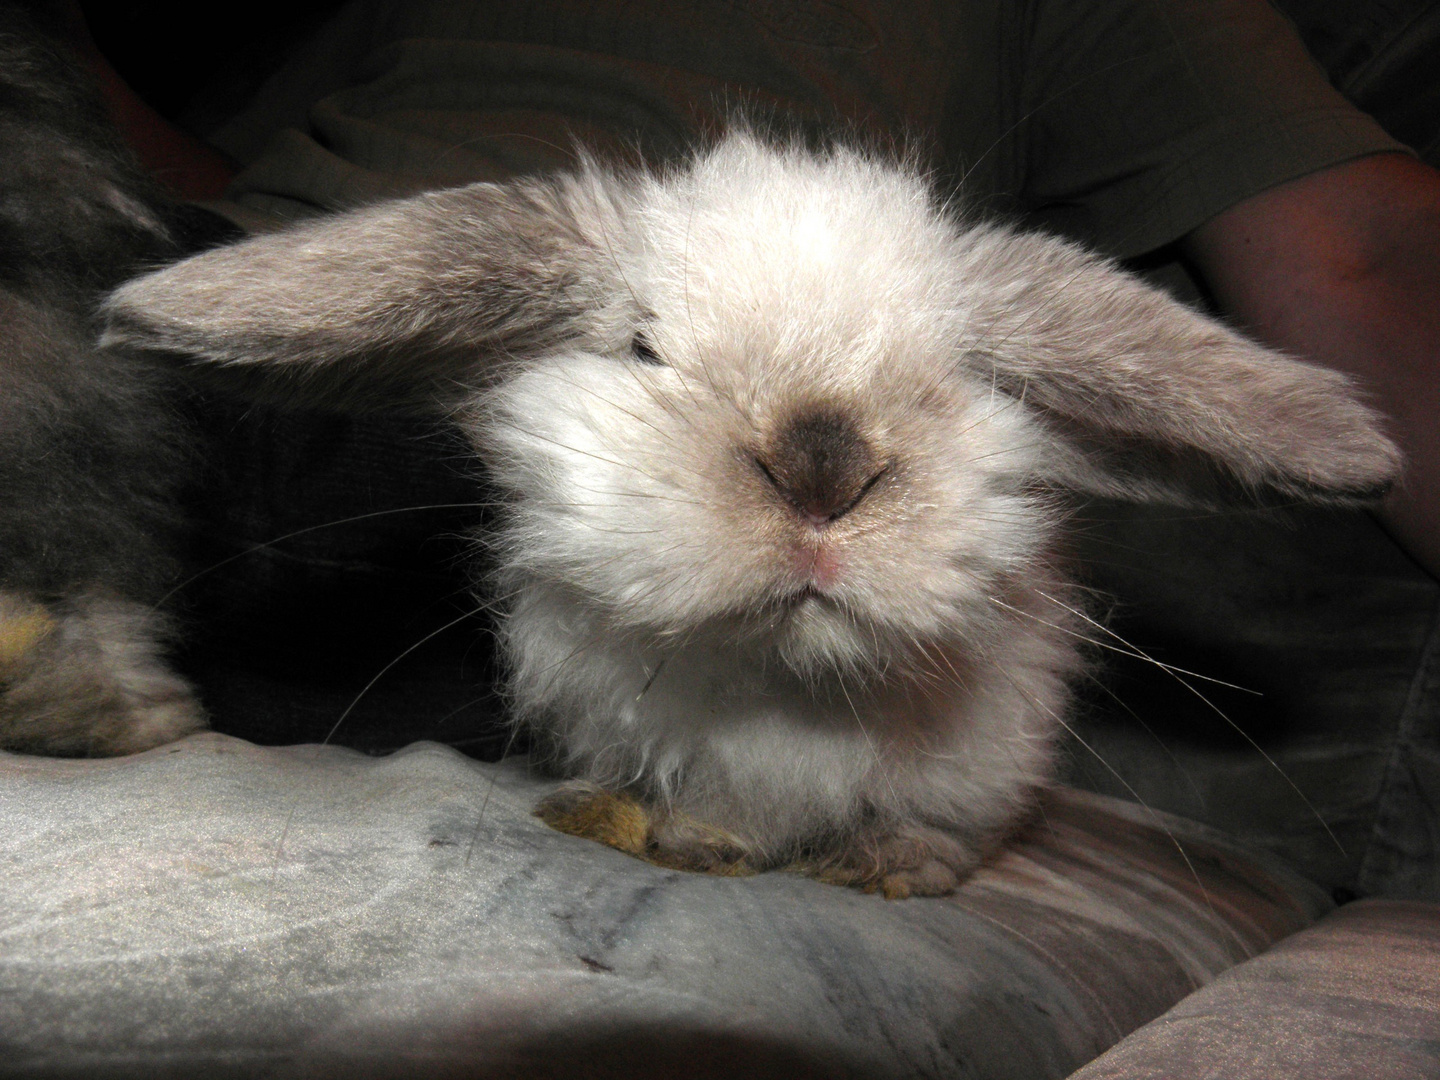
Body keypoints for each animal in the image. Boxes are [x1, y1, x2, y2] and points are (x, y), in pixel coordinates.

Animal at [98, 135, 1393, 898]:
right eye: (641, 345)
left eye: (960, 375)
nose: (823, 468)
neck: (782, 687)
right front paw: (679, 839)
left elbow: (936, 830)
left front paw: (889, 866)